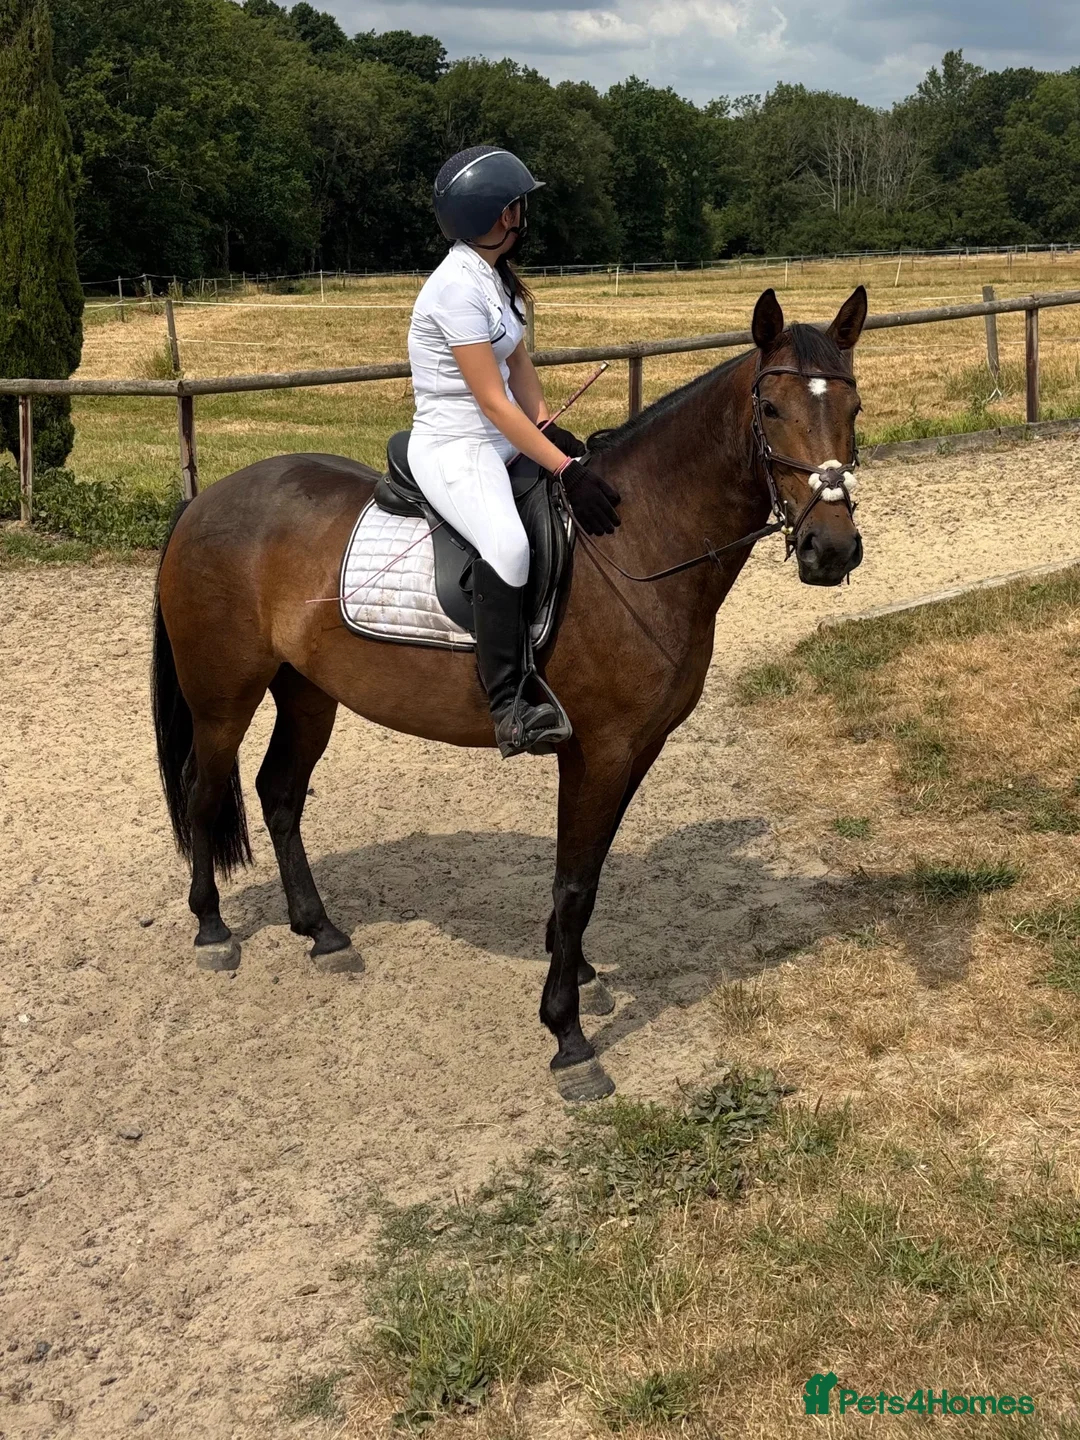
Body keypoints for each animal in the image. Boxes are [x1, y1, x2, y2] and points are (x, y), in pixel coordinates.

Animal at [152, 285, 867, 1101]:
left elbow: (589, 867)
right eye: (771, 409)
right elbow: (574, 881)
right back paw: (212, 929)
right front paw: (568, 1037)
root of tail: (206, 502)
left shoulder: (637, 747)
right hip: (222, 698)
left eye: (856, 407)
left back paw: (321, 931)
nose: (832, 550)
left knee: (278, 793)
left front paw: (580, 972)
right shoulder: (600, 748)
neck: (635, 539)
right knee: (205, 790)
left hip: (307, 691)